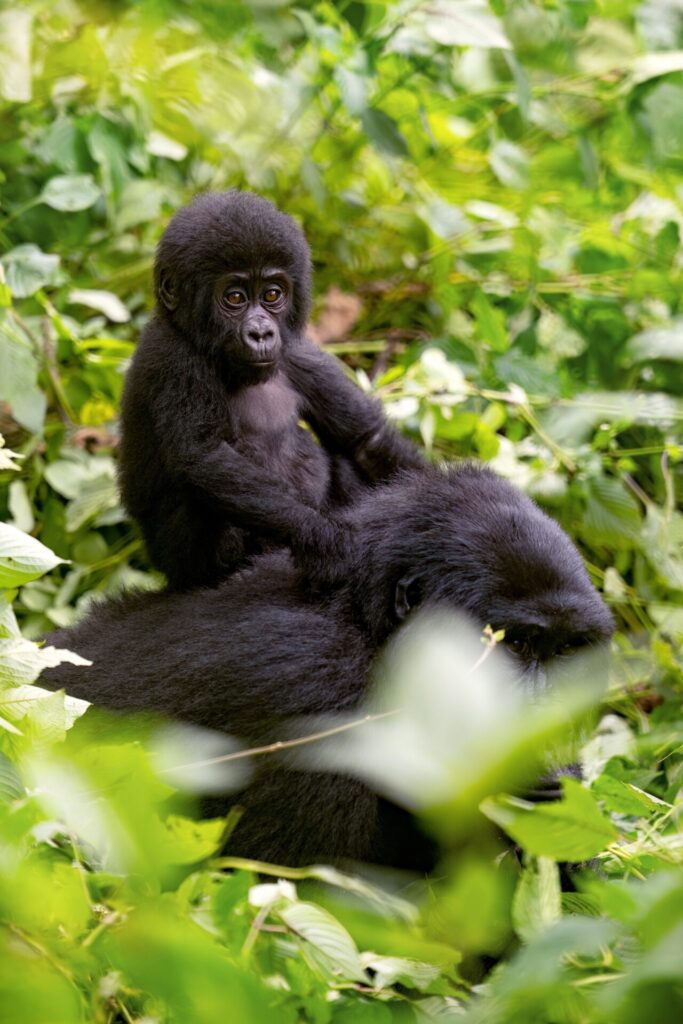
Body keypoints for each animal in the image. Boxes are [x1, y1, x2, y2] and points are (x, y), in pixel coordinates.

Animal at [118, 190, 424, 590]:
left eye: (272, 294)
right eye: (234, 298)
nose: (261, 333)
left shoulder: (299, 352)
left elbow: (365, 439)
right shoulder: (174, 358)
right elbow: (205, 458)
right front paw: (326, 540)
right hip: (180, 567)